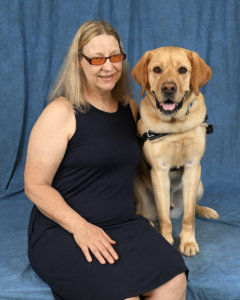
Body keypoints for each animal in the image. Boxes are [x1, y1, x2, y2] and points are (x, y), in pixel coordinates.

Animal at [133, 47, 219, 255]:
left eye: (182, 70)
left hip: (199, 185)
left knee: (193, 206)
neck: (175, 126)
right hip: (138, 188)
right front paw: (166, 239)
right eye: (157, 69)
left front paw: (187, 242)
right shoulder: (159, 171)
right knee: (144, 212)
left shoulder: (192, 167)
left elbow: (189, 216)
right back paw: (148, 221)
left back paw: (206, 211)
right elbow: (164, 218)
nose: (169, 88)